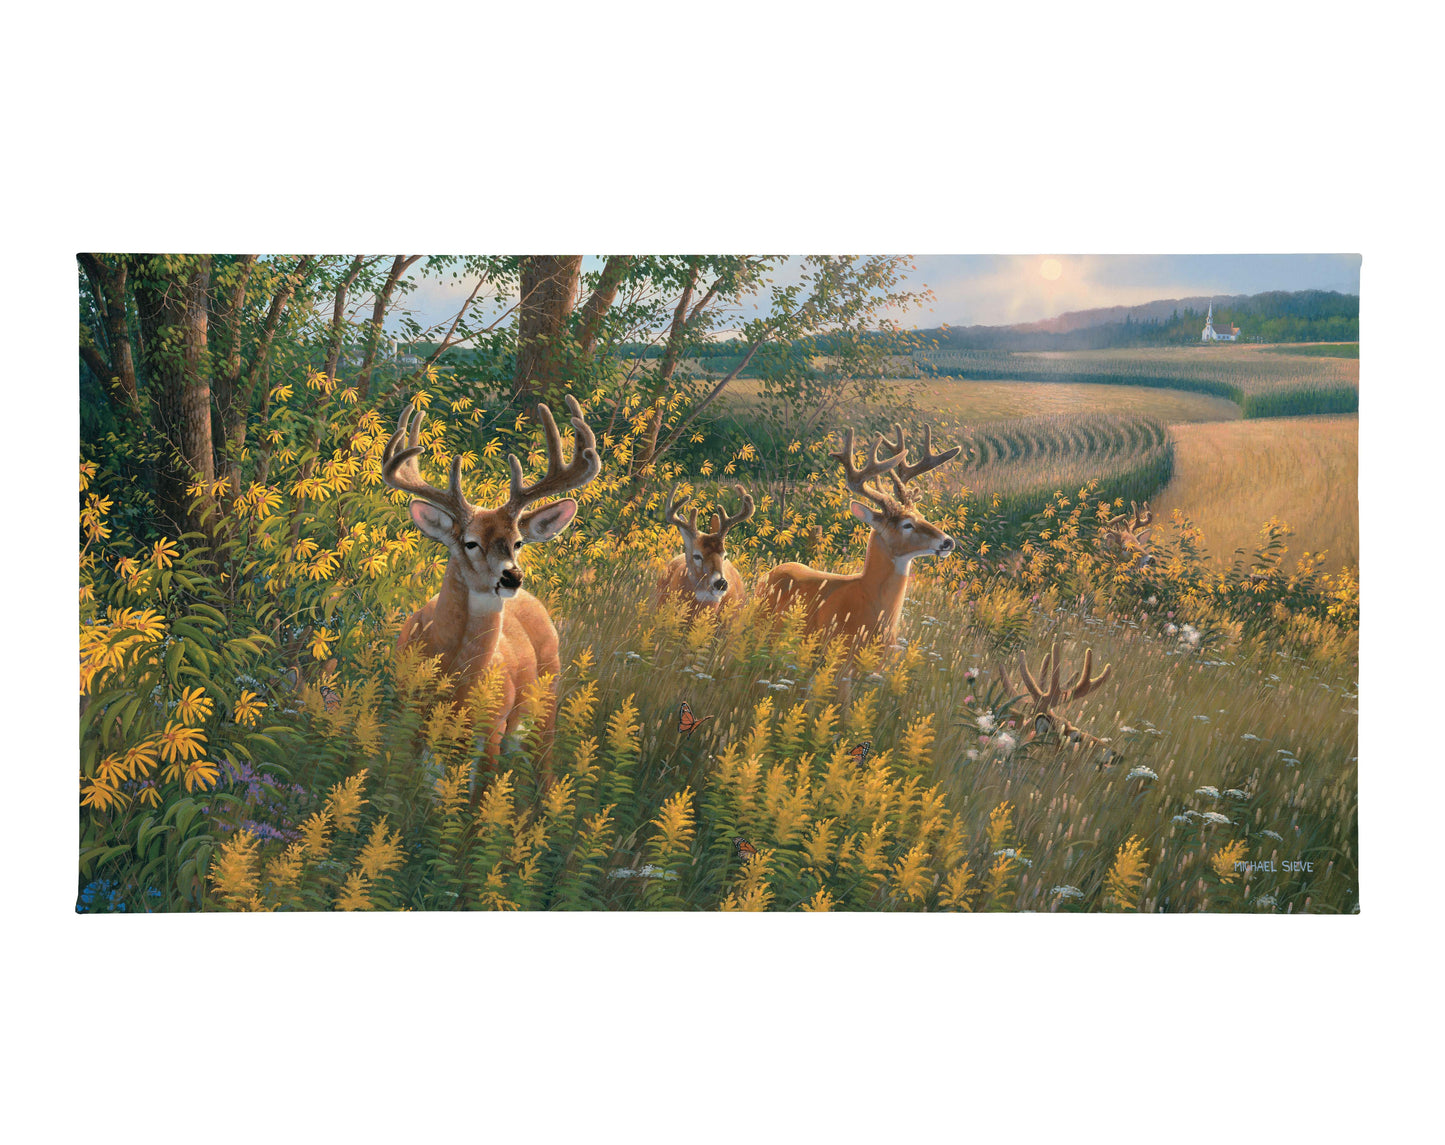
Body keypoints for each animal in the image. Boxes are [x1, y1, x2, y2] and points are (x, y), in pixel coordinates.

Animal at [381, 394, 601, 764]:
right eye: (470, 542)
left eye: (518, 542)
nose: (512, 576)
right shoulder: (405, 709)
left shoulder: (493, 727)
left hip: (548, 698)